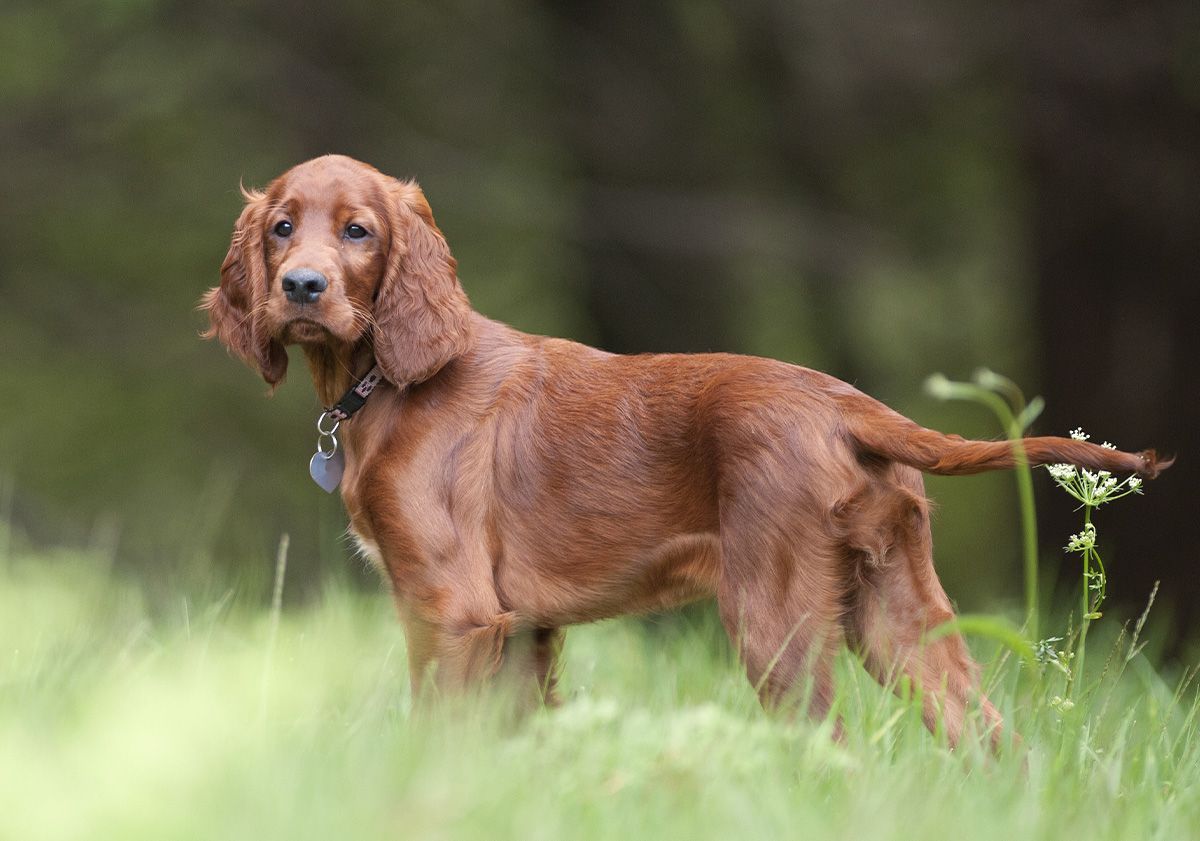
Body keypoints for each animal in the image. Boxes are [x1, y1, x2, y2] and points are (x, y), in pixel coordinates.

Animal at [201, 154, 1166, 743]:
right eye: (282, 227)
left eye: (357, 230)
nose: (302, 286)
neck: (392, 381)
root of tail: (849, 404)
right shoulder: (522, 628)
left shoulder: (453, 608)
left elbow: (434, 735)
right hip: (898, 610)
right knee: (992, 738)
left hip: (776, 620)